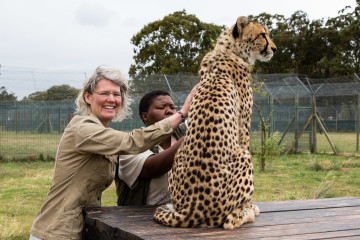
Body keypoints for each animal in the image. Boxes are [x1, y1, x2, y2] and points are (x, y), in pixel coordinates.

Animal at [154, 15, 276, 230]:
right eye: (263, 35)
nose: (275, 49)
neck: (229, 49)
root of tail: (189, 209)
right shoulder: (243, 124)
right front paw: (250, 206)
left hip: (177, 158)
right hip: (243, 156)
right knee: (229, 221)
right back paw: (246, 212)